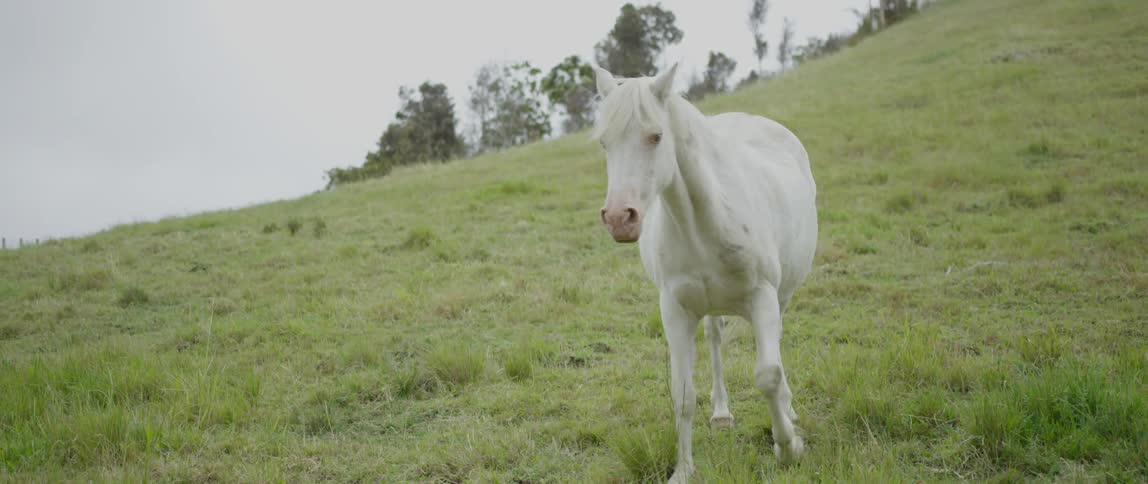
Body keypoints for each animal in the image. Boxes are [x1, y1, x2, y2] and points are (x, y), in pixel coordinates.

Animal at [592, 63, 818, 482]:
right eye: (604, 143)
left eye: (656, 136)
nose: (618, 218)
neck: (704, 218)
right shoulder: (675, 311)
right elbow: (682, 394)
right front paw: (683, 469)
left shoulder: (763, 296)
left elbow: (768, 374)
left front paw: (788, 447)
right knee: (714, 339)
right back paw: (722, 412)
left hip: (782, 295)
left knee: (778, 349)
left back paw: (790, 409)